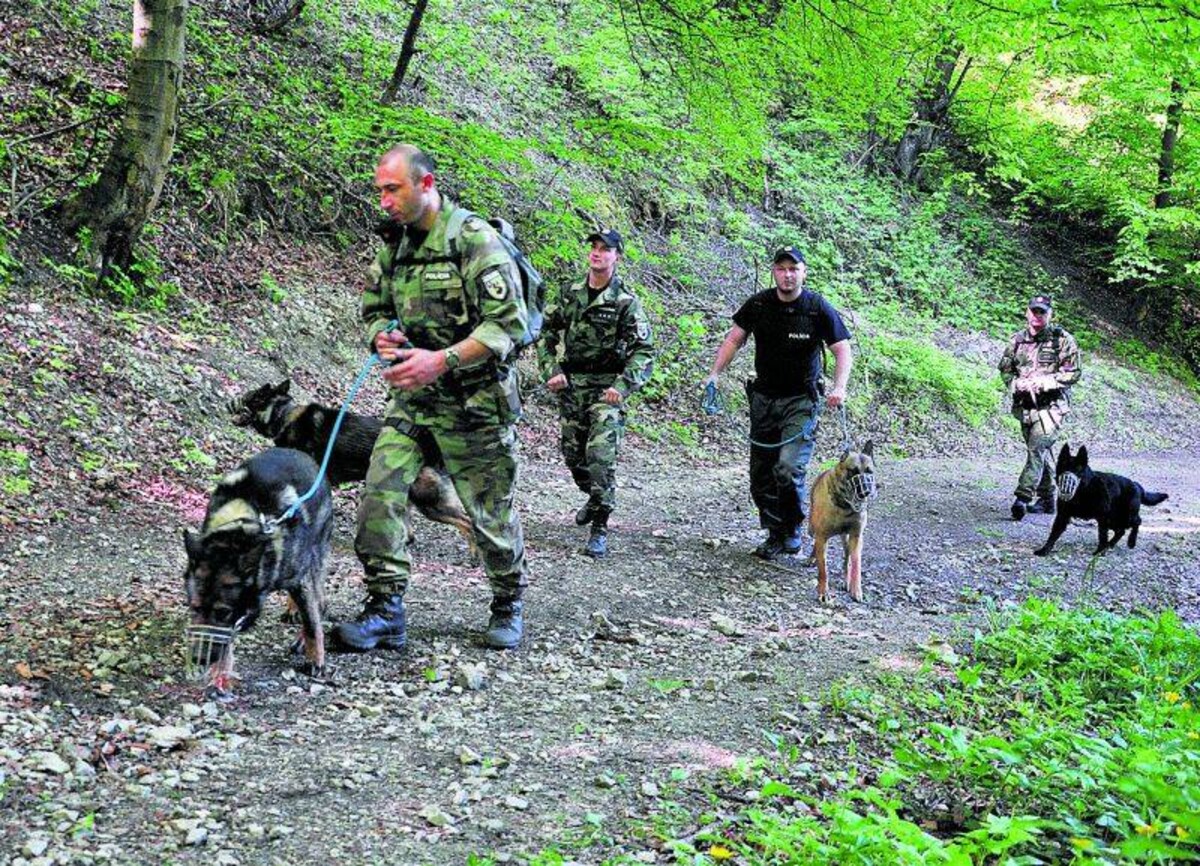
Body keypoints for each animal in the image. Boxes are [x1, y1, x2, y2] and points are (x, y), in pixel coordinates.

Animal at [182, 446, 333, 686]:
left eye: (223, 613)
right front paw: (220, 671)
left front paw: (315, 659)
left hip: (316, 557)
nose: (198, 658)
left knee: (320, 602)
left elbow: (312, 623)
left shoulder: (300, 580)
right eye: (194, 607)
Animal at [806, 438, 883, 599]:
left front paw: (856, 588)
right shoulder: (822, 537)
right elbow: (823, 569)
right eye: (853, 471)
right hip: (812, 528)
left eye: (869, 471)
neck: (844, 506)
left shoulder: (856, 537)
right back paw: (812, 557)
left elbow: (855, 563)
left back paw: (846, 579)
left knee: (847, 557)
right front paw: (823, 591)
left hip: (847, 539)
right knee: (814, 541)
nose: (866, 492)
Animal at [1036, 441, 1166, 556]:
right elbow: (1053, 534)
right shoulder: (1062, 516)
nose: (1066, 486)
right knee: (1121, 530)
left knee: (1137, 521)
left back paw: (1131, 542)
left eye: (1078, 468)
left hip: (1125, 517)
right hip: (1113, 520)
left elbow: (1102, 535)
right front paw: (1044, 550)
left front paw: (1099, 551)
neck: (1082, 491)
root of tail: (1136, 485)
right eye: (1063, 466)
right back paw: (1110, 544)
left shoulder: (1102, 517)